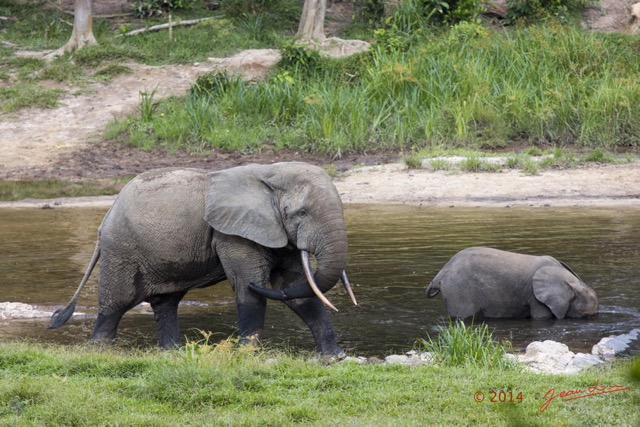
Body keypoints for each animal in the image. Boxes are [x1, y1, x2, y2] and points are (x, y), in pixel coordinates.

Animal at [49, 162, 357, 356]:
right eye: (301, 213)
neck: (271, 174)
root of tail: (107, 215)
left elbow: (296, 290)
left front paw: (335, 357)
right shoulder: (232, 234)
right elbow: (250, 290)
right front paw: (245, 356)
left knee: (166, 303)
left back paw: (171, 353)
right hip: (121, 249)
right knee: (116, 303)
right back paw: (99, 351)